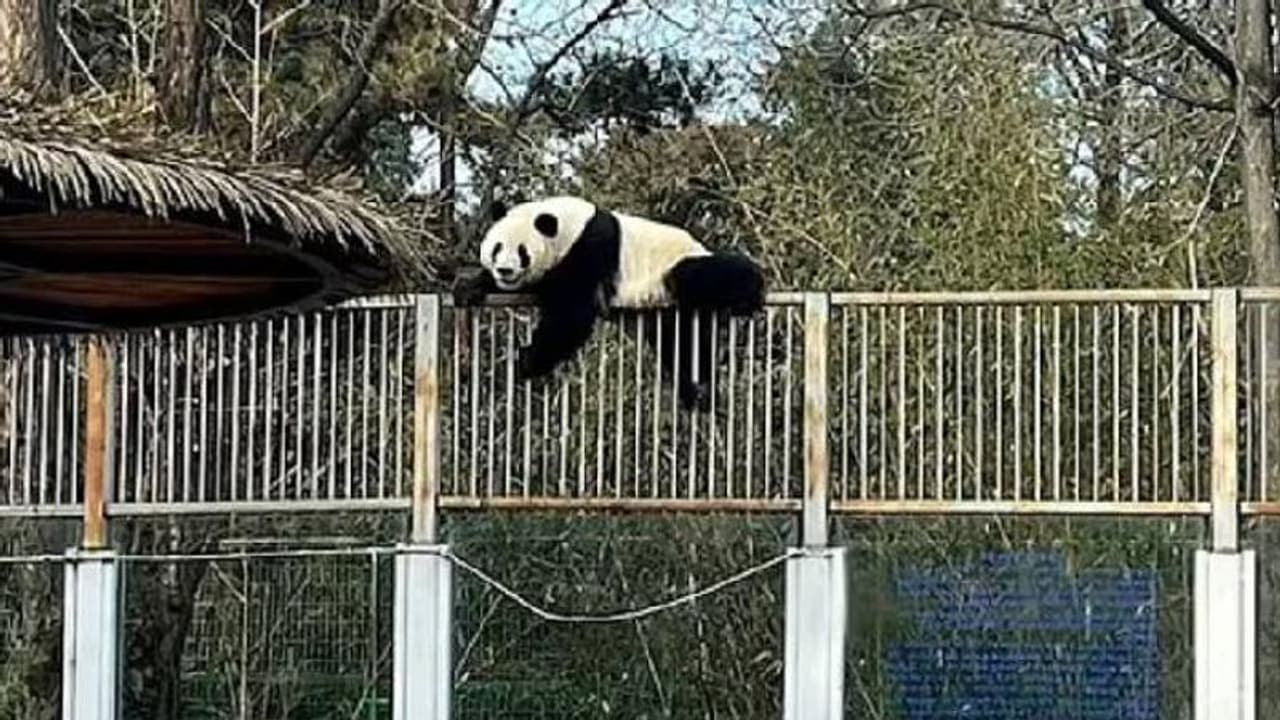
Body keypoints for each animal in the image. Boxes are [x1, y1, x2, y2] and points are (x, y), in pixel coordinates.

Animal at [452, 195, 765, 412]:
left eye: (522, 252)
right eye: (497, 248)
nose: (505, 271)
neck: (568, 225)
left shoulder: (588, 250)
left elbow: (572, 315)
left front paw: (528, 360)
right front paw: (469, 288)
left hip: (673, 267)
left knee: (704, 275)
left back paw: (750, 291)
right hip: (668, 313)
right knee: (683, 345)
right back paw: (698, 393)